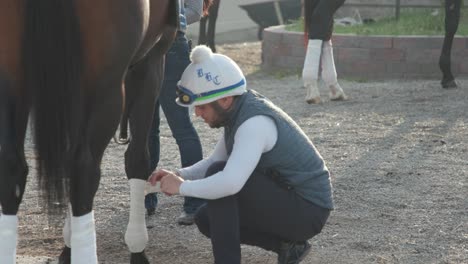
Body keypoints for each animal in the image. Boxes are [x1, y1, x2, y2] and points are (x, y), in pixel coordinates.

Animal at [0, 0, 178, 264]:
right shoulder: (152, 61)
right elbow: (137, 160)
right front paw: (137, 248)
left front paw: (68, 245)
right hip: (106, 87)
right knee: (84, 171)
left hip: (12, 78)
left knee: (12, 170)